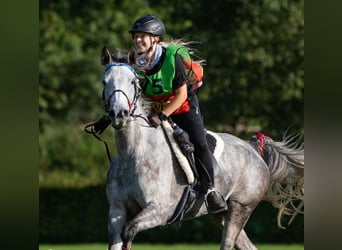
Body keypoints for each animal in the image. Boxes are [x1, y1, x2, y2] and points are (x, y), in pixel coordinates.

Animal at [100, 47, 304, 249]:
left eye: (132, 81)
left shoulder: (160, 210)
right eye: (104, 81)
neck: (132, 153)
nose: (119, 114)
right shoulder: (116, 212)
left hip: (240, 207)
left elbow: (129, 231)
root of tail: (252, 148)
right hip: (220, 215)